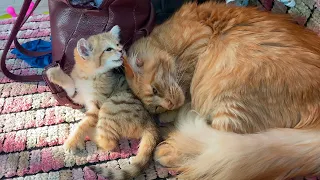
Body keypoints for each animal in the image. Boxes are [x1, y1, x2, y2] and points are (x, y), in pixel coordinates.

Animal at [46, 25, 159, 180]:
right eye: (109, 49)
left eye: (118, 44)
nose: (121, 50)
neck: (90, 76)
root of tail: (149, 121)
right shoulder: (77, 96)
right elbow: (70, 85)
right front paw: (54, 74)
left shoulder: (96, 107)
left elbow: (83, 124)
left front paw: (72, 141)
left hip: (110, 106)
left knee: (110, 143)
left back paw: (92, 133)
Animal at [124, 1, 320, 180]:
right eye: (156, 107)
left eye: (155, 90)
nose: (169, 105)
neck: (163, 39)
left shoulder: (199, 42)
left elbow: (186, 82)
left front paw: (171, 113)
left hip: (231, 101)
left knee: (213, 147)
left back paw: (168, 148)